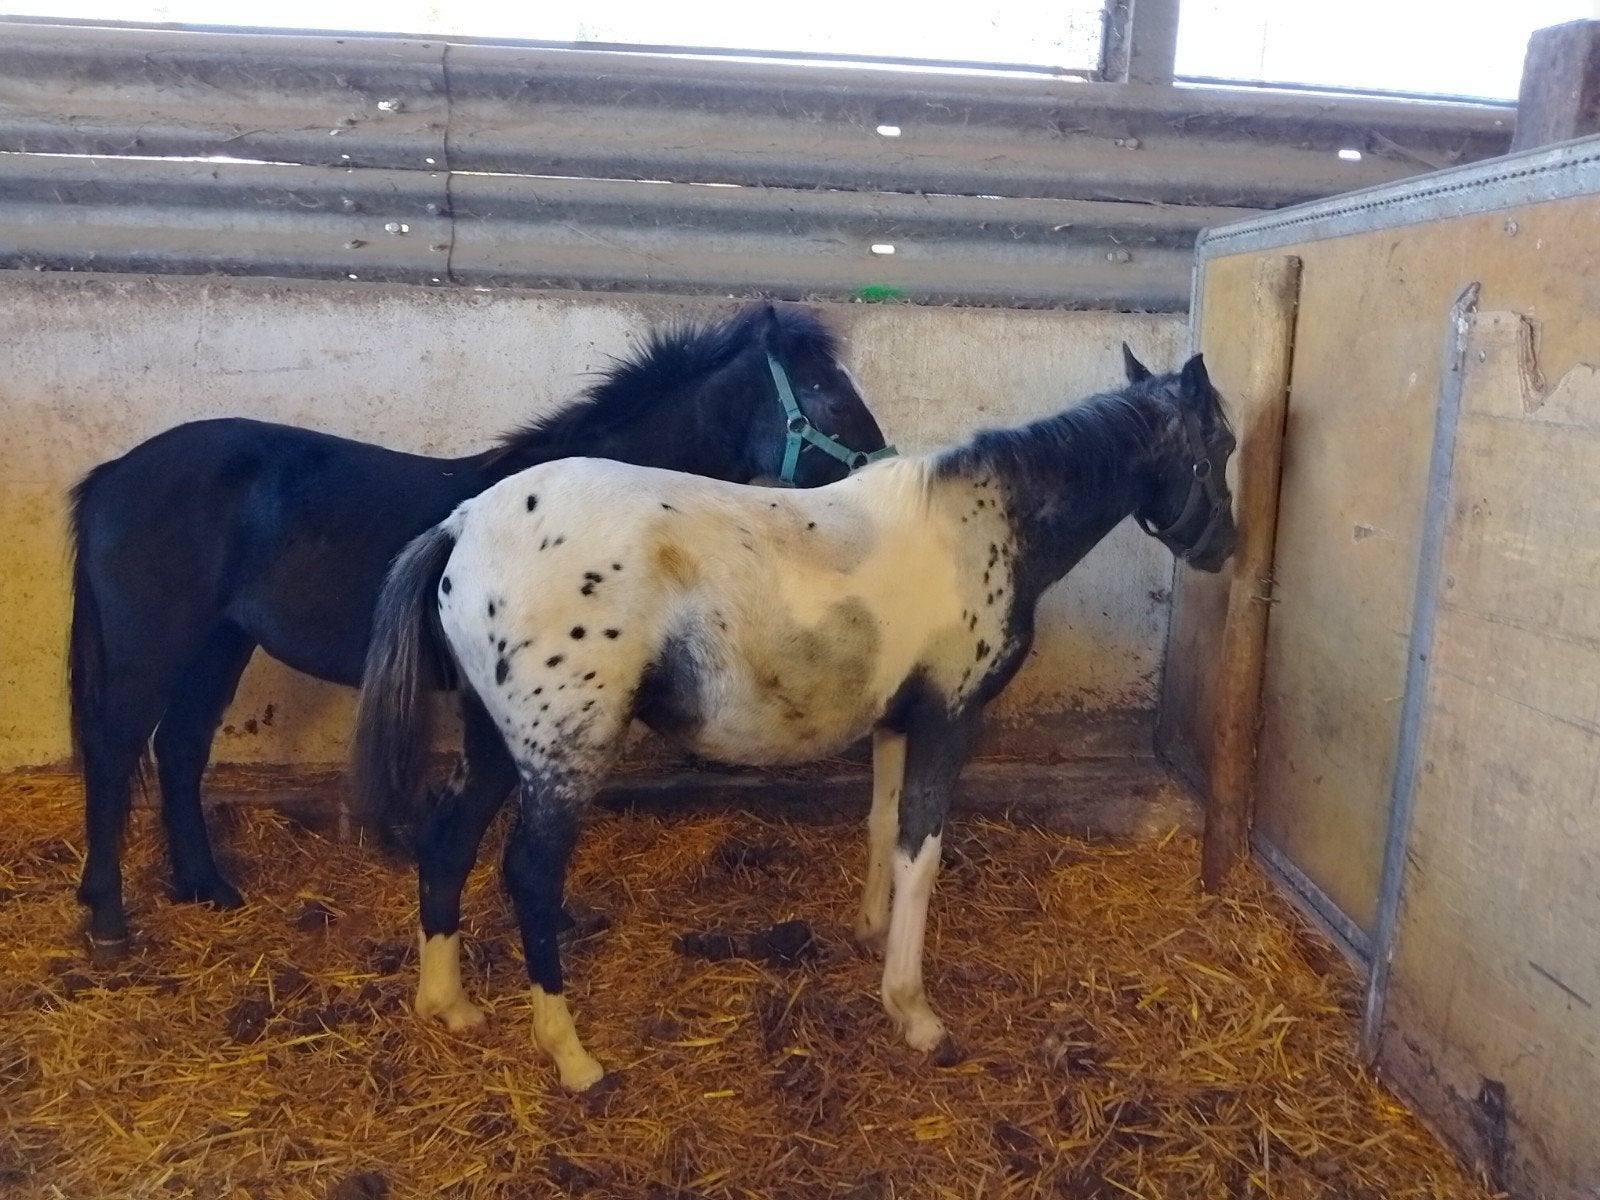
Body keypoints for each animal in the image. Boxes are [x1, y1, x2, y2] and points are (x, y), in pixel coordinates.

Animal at [67, 301, 890, 959]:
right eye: (823, 390)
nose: (878, 474)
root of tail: (112, 474)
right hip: (153, 647)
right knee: (114, 754)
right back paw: (108, 920)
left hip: (220, 643)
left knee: (179, 750)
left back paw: (205, 886)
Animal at [353, 345, 1236, 1090]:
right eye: (1220, 444)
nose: (1222, 547)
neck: (982, 522)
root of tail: (464, 522)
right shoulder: (950, 719)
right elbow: (922, 851)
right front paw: (913, 1012)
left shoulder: (897, 721)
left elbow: (883, 825)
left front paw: (871, 934)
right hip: (562, 753)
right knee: (530, 875)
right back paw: (573, 1058)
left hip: (494, 742)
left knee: (448, 840)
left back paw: (450, 1005)